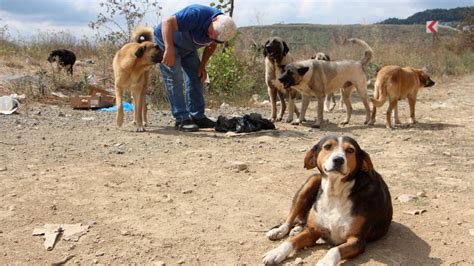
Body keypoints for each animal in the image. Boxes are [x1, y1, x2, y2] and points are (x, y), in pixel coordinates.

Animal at [262, 136, 392, 264]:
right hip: (312, 181)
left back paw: (297, 228)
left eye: (350, 150)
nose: (338, 160)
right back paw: (279, 231)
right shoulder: (314, 231)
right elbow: (291, 241)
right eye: (327, 146)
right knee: (290, 219)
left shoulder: (357, 240)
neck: (335, 193)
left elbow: (334, 249)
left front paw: (325, 262)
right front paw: (276, 252)